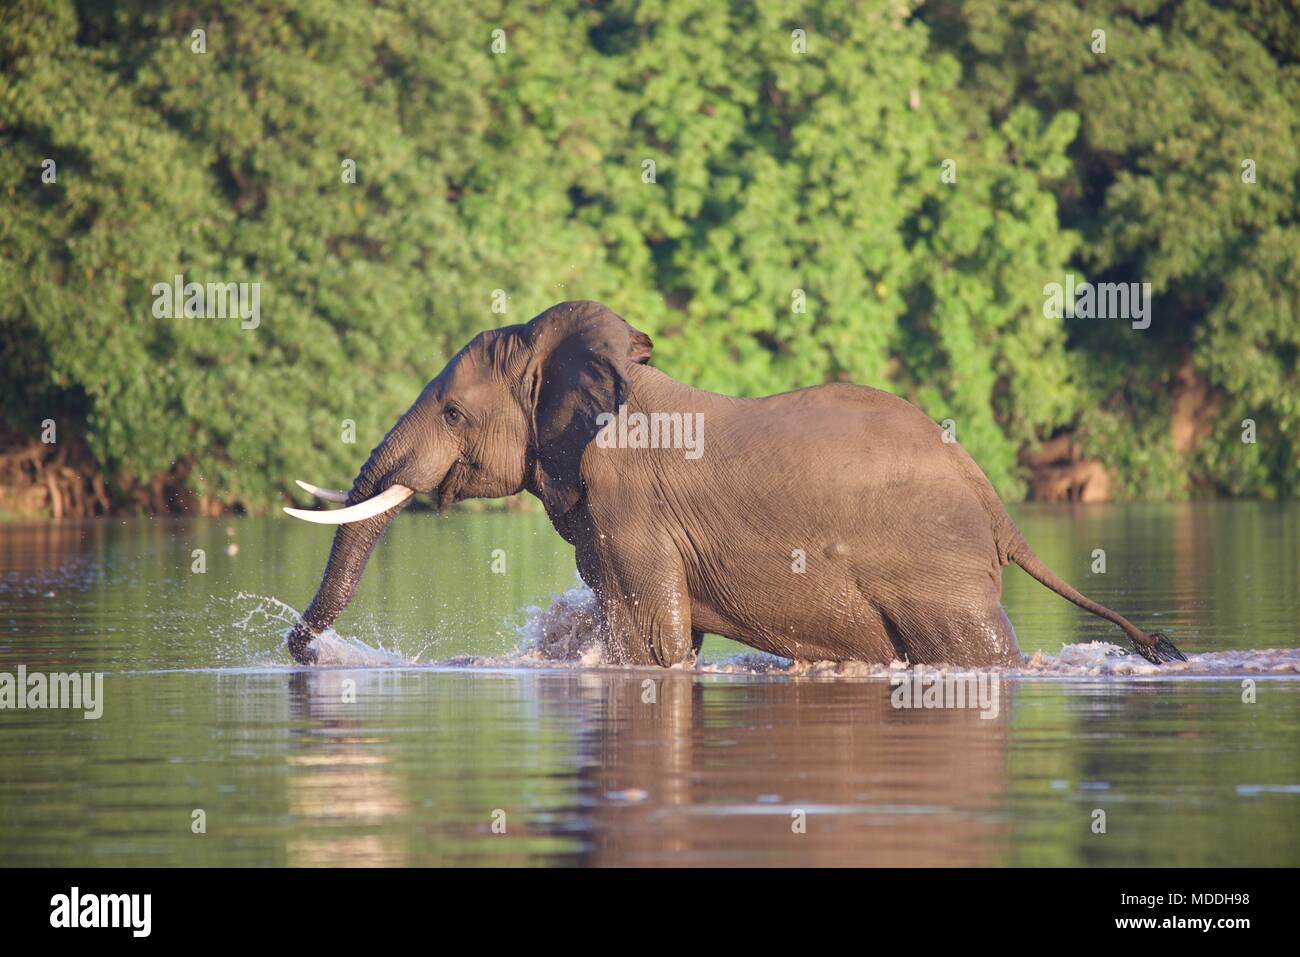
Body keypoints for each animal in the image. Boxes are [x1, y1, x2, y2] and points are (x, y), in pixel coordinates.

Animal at [283, 300, 1184, 668]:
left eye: (455, 414)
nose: (299, 647)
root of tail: (994, 498)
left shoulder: (631, 511)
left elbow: (654, 648)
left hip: (940, 572)